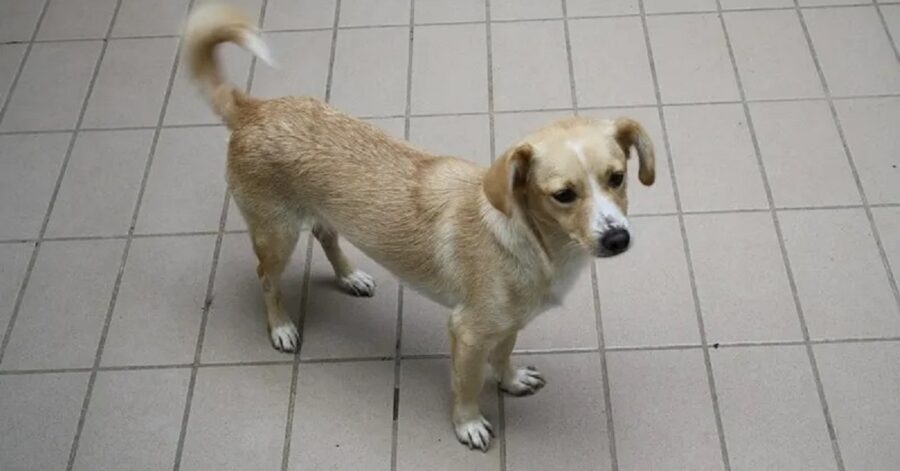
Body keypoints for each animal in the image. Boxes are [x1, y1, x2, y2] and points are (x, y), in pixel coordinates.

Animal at [186, 4, 656, 454]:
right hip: (277, 236)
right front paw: (468, 424)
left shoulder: (508, 324)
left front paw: (510, 380)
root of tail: (253, 108)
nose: (618, 238)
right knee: (266, 277)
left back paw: (349, 276)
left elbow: (503, 355)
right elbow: (467, 385)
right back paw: (281, 326)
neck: (535, 244)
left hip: (321, 214)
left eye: (617, 177)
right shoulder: (467, 333)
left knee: (326, 235)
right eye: (563, 194)